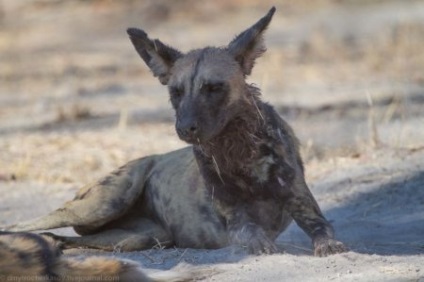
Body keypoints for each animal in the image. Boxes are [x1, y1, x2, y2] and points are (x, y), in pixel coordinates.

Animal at [2, 7, 348, 258]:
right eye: (176, 92)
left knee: (66, 238)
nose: (185, 128)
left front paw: (328, 246)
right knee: (25, 224)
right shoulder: (236, 222)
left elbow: (323, 231)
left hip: (139, 237)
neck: (240, 153)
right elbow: (254, 235)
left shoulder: (304, 207)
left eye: (213, 88)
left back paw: (52, 244)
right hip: (100, 206)